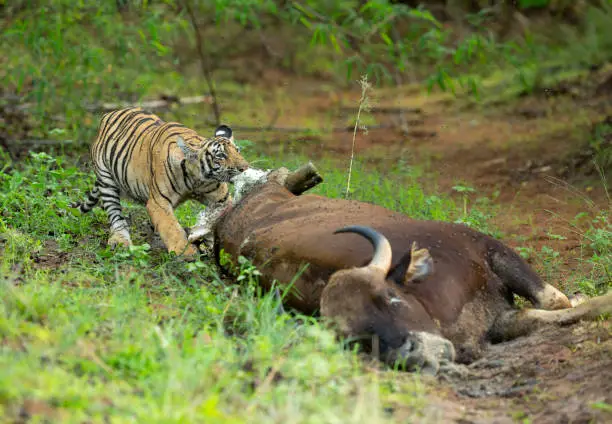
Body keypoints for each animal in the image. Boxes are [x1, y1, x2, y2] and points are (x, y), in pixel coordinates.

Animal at [73, 107, 250, 258]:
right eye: (220, 155)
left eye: (237, 151)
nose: (245, 168)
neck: (196, 180)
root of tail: (109, 114)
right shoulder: (158, 202)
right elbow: (171, 227)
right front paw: (185, 252)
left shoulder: (221, 199)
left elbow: (217, 217)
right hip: (106, 180)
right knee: (115, 214)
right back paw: (120, 241)